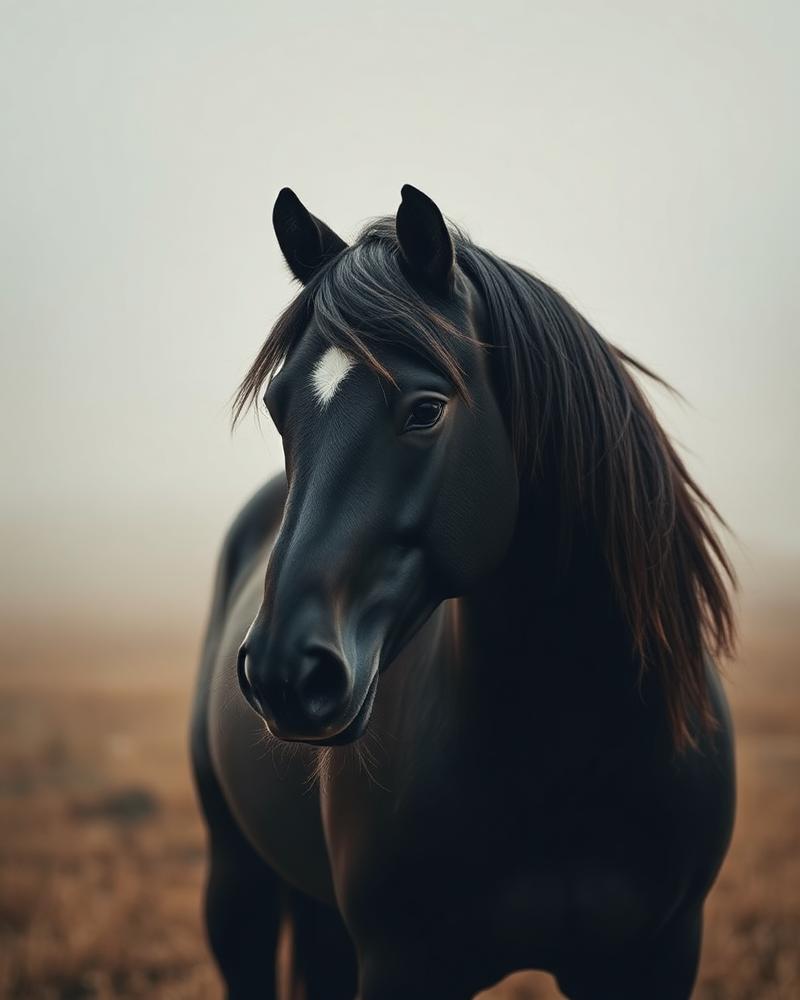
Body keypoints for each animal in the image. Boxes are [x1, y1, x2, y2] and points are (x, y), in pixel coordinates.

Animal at [191, 184, 736, 1000]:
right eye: (281, 411)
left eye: (426, 409)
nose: (285, 672)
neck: (566, 762)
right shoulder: (403, 963)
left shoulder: (661, 955)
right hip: (237, 881)